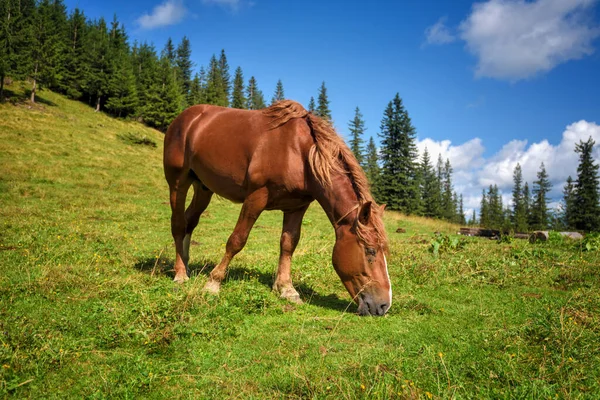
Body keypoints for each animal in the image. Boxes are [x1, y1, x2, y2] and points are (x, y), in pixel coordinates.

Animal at [162, 100, 392, 316]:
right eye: (370, 251)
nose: (383, 305)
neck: (299, 153)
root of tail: (186, 117)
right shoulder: (256, 197)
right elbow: (237, 240)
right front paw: (213, 283)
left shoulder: (297, 207)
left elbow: (288, 244)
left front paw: (287, 289)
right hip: (178, 183)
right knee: (178, 224)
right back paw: (180, 274)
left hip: (203, 187)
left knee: (190, 221)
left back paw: (186, 265)